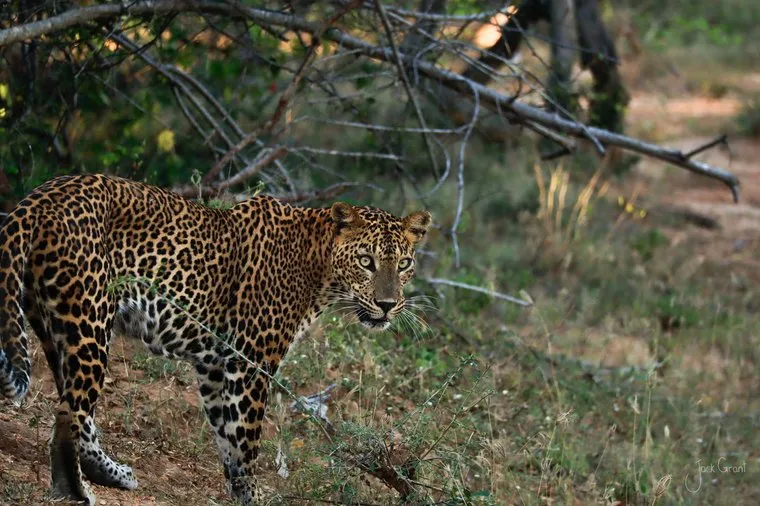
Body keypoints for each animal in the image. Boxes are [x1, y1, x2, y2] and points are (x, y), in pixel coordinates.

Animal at [0, 174, 432, 505]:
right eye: (366, 262)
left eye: (404, 264)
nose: (387, 305)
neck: (319, 266)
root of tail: (39, 197)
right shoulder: (251, 360)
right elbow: (247, 438)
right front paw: (253, 497)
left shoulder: (214, 365)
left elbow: (227, 435)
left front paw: (237, 491)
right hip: (90, 321)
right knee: (68, 414)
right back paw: (74, 491)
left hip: (58, 328)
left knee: (78, 412)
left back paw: (110, 475)